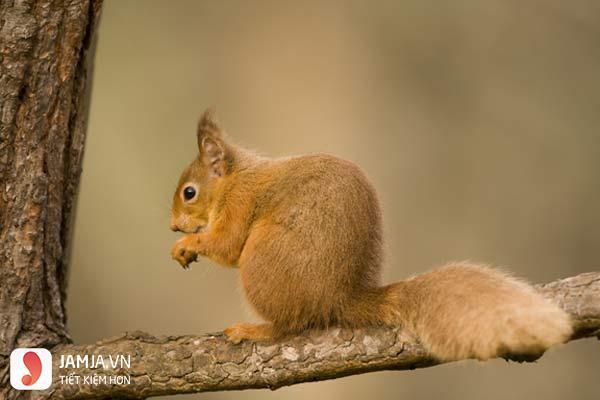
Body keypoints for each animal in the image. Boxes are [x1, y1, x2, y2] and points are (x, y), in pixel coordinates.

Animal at [170, 109, 572, 362]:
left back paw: (256, 330)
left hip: (262, 263)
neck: (234, 178)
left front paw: (187, 244)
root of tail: (341, 298)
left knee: (290, 327)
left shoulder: (240, 204)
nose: (174, 225)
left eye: (189, 192)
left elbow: (227, 245)